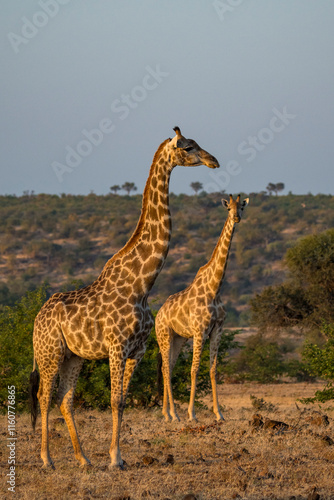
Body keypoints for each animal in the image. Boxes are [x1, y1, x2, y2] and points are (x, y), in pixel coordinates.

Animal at [30, 125, 219, 468]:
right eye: (188, 147)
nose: (214, 160)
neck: (142, 285)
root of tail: (37, 319)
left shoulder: (137, 351)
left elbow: (124, 399)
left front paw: (115, 456)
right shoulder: (116, 347)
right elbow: (115, 400)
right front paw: (115, 458)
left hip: (73, 356)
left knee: (65, 399)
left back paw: (83, 459)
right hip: (49, 353)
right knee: (44, 396)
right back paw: (47, 459)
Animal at [155, 194, 247, 422]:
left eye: (242, 206)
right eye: (228, 208)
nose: (237, 218)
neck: (215, 288)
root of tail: (158, 314)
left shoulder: (217, 330)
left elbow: (213, 369)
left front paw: (219, 414)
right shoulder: (199, 331)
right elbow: (194, 369)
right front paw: (192, 414)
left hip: (178, 338)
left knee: (169, 367)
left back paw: (167, 413)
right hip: (164, 335)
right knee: (165, 368)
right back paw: (174, 415)